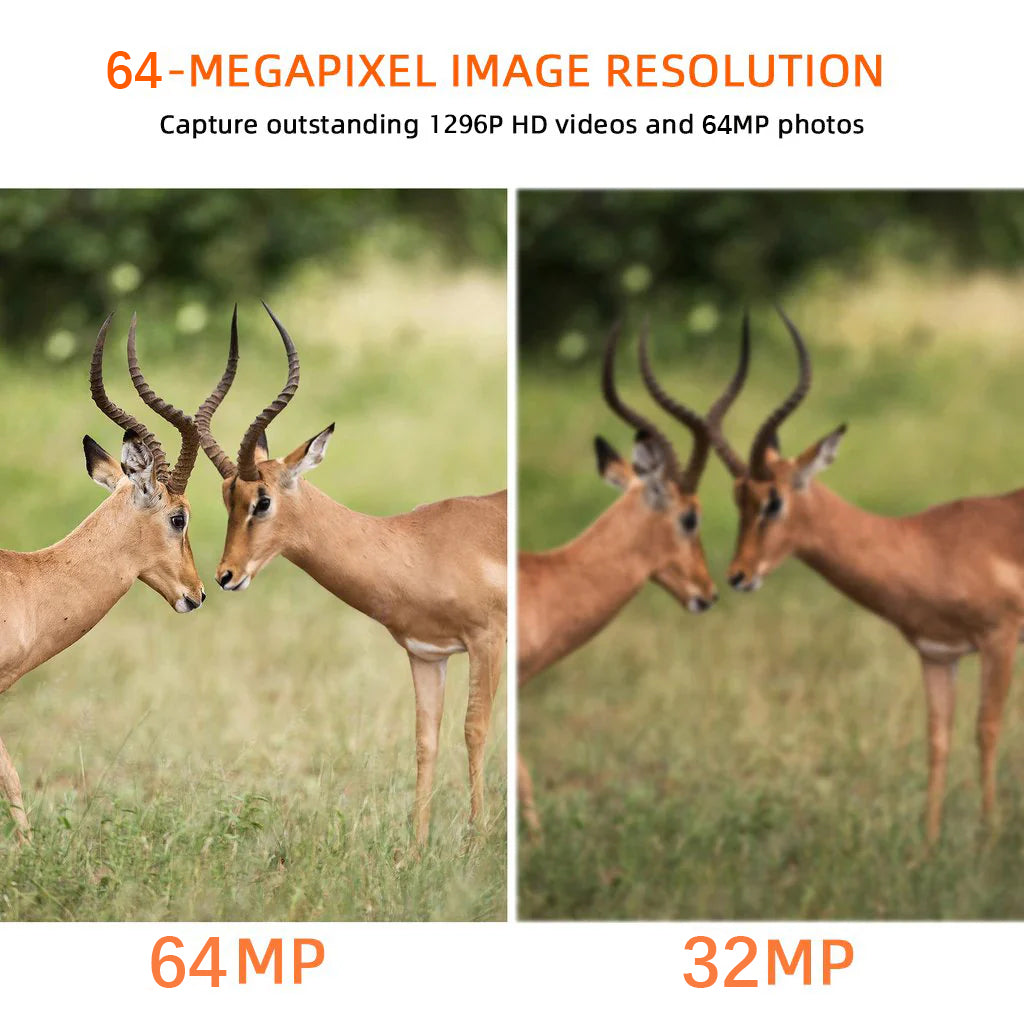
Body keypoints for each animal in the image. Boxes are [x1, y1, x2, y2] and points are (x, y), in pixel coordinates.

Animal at [194, 304, 507, 846]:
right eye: (225, 497)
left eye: (262, 500)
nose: (225, 575)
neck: (419, 545)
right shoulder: (427, 654)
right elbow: (425, 739)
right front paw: (414, 851)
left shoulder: (487, 641)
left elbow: (474, 729)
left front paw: (477, 841)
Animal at [706, 307, 1024, 844]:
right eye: (737, 497)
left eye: (774, 500)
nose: (738, 575)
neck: (930, 546)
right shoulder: (937, 654)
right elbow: (937, 739)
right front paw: (928, 847)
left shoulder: (998, 640)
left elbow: (986, 730)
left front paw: (987, 839)